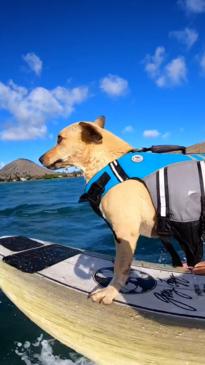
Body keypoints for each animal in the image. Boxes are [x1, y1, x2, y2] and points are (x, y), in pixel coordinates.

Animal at [38, 116, 203, 304]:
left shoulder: (125, 234)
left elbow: (120, 267)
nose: (40, 159)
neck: (107, 163)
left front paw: (109, 292)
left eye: (60, 139)